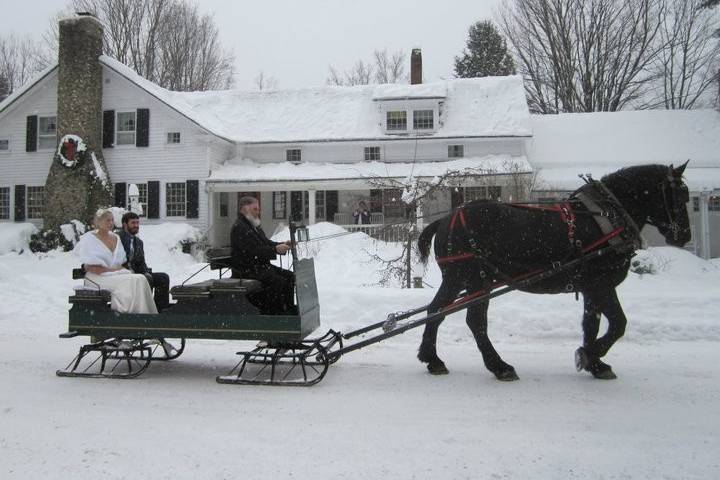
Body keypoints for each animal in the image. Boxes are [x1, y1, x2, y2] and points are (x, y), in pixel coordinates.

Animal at [416, 163, 692, 380]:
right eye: (680, 196)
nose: (684, 236)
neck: (606, 217)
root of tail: (446, 219)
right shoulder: (601, 284)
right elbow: (618, 323)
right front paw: (588, 355)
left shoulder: (591, 287)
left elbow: (591, 324)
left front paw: (595, 364)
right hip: (472, 278)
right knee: (472, 320)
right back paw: (499, 366)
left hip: (462, 279)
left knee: (436, 312)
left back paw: (434, 359)